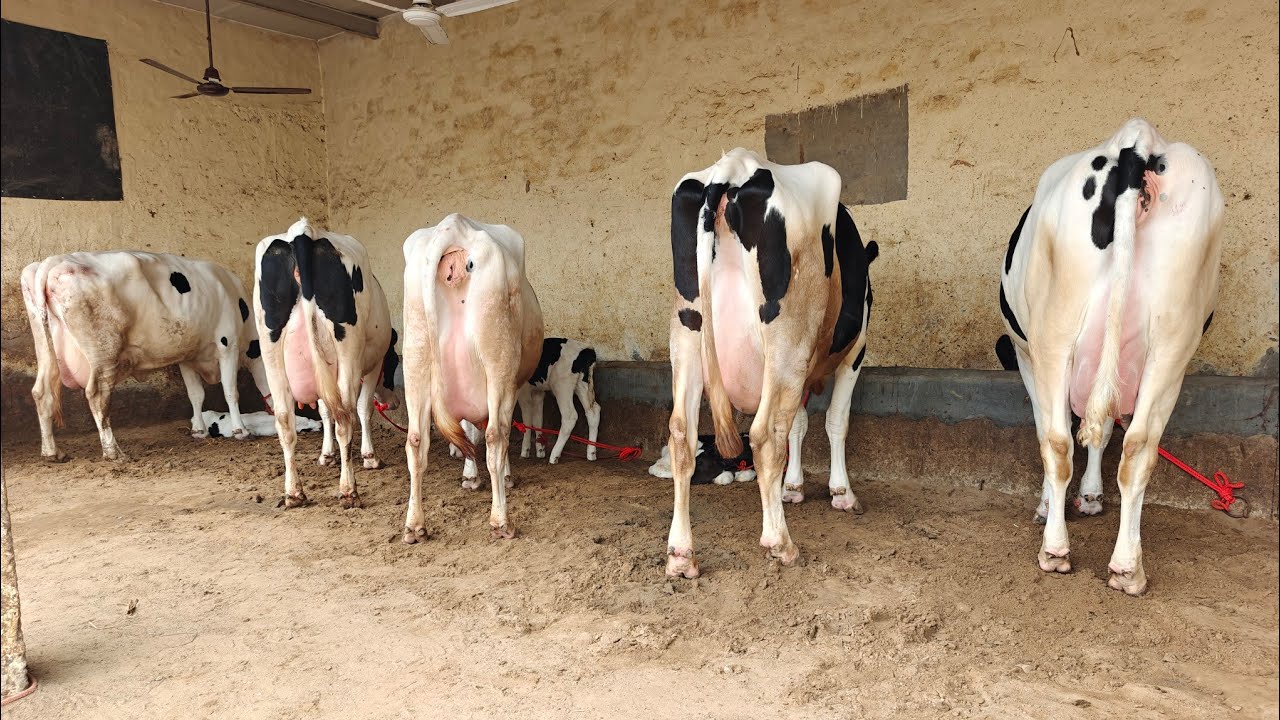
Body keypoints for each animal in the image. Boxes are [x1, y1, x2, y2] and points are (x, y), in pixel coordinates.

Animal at [20, 251, 270, 461]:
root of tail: (54, 260)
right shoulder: (228, 344)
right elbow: (231, 392)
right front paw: (240, 430)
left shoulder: (187, 356)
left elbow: (195, 395)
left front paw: (199, 430)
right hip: (103, 352)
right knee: (97, 395)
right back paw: (113, 452)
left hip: (45, 348)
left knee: (41, 392)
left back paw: (52, 452)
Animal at [253, 218, 400, 510]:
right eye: (394, 363)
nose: (394, 402)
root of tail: (302, 231)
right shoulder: (372, 364)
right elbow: (364, 408)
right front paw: (369, 457)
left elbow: (323, 410)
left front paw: (326, 454)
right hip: (347, 349)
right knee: (346, 417)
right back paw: (348, 491)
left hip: (271, 349)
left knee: (285, 420)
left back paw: (294, 493)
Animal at [400, 214, 544, 543]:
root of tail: (453, 225)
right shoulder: (509, 384)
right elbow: (488, 431)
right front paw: (500, 476)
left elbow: (466, 431)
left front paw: (469, 476)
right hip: (498, 359)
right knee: (495, 435)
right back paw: (501, 521)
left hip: (415, 357)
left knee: (416, 440)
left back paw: (414, 525)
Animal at [664, 148, 878, 578]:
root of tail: (732, 167)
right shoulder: (854, 352)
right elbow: (835, 421)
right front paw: (842, 492)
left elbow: (799, 424)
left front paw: (792, 487)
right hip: (787, 337)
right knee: (764, 435)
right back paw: (780, 543)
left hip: (688, 330)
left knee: (682, 433)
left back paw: (681, 554)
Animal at [999, 118, 1224, 595]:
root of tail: (1139, 140)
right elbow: (1101, 430)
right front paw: (1090, 496)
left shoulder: (1028, 355)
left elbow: (1057, 429)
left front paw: (1055, 504)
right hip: (1171, 348)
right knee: (1138, 447)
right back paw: (1127, 567)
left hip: (1056, 334)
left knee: (1059, 441)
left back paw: (1056, 552)